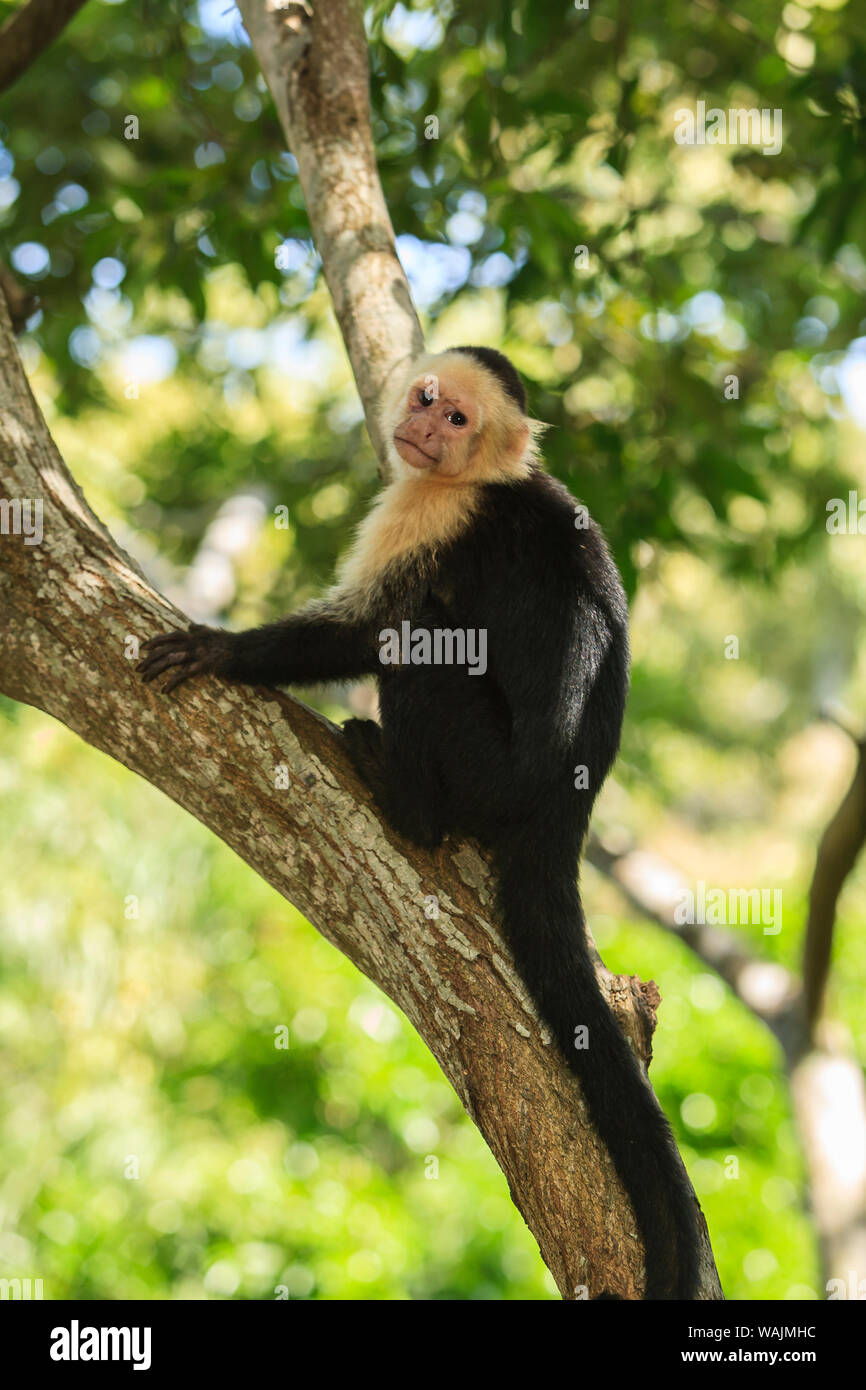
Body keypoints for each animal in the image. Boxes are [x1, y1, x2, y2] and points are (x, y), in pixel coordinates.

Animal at [136, 341, 706, 1295]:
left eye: (459, 420)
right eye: (428, 397)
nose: (422, 426)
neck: (483, 475)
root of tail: (564, 811)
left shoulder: (436, 511)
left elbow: (368, 629)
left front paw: (224, 650)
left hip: (487, 773)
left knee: (420, 640)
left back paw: (406, 801)